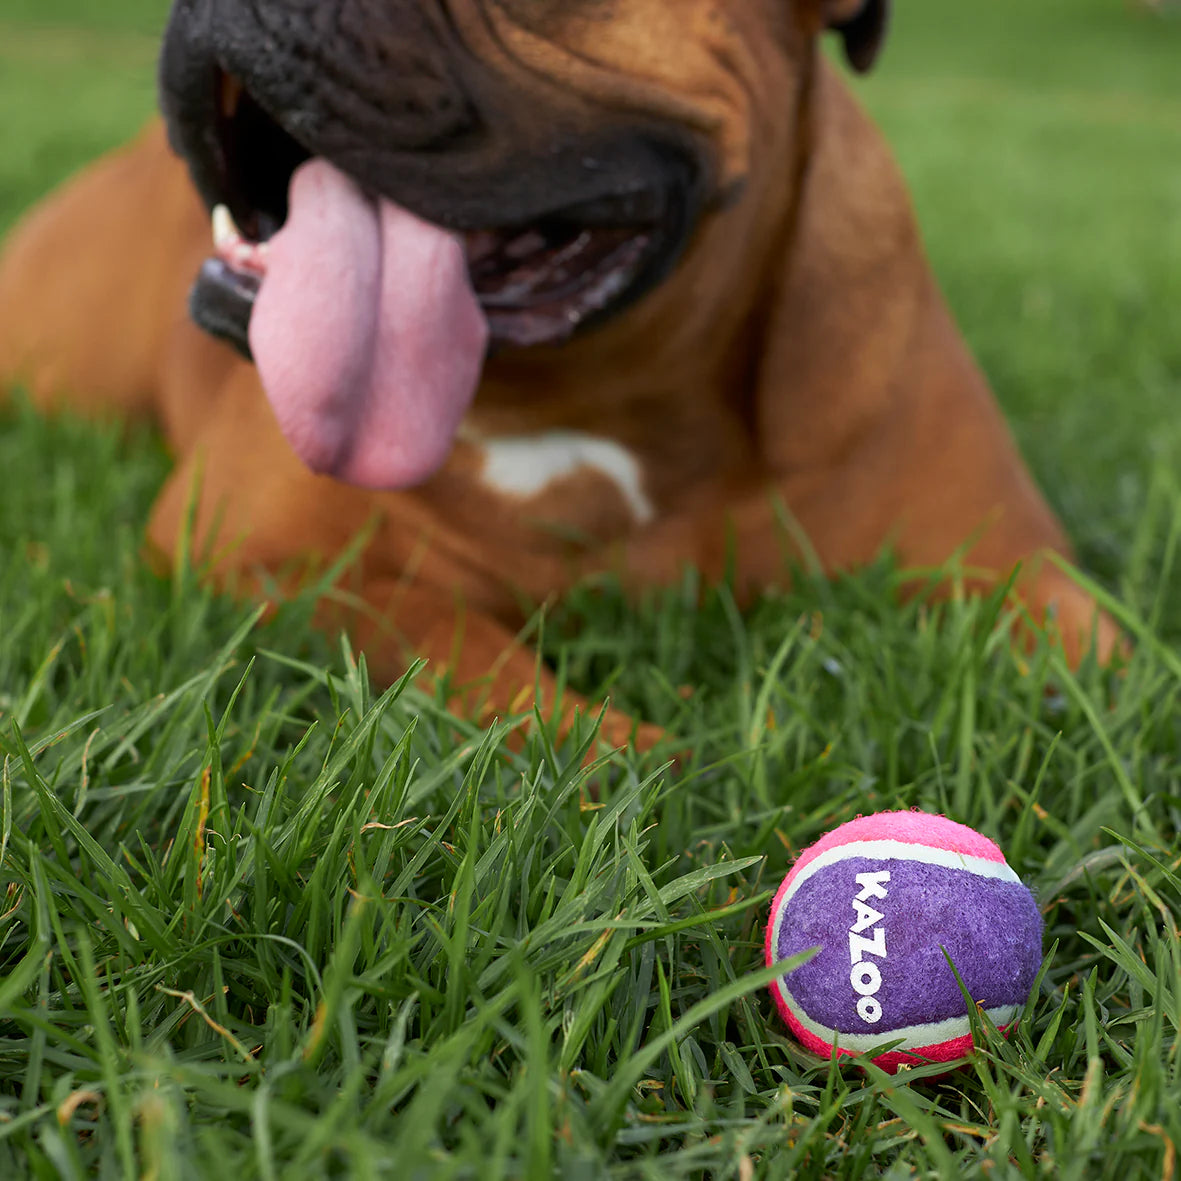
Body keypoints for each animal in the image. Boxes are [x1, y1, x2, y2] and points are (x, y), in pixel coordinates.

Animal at [0, 0, 1114, 746]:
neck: (614, 397)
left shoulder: (1020, 569)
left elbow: (1088, 653)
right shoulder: (261, 551)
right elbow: (447, 637)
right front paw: (632, 762)